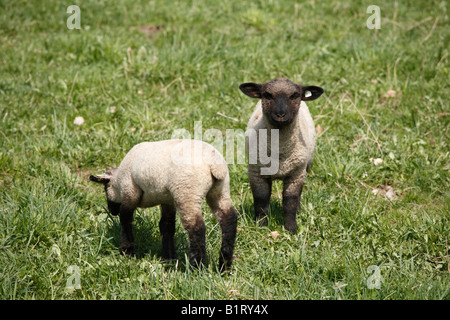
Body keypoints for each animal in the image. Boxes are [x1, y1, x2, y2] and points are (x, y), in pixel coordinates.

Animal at [239, 77, 324, 232]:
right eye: (267, 95)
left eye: (295, 95)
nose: (280, 114)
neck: (280, 153)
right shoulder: (256, 173)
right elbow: (261, 201)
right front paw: (261, 226)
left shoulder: (296, 174)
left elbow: (290, 202)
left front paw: (291, 229)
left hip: (305, 167)